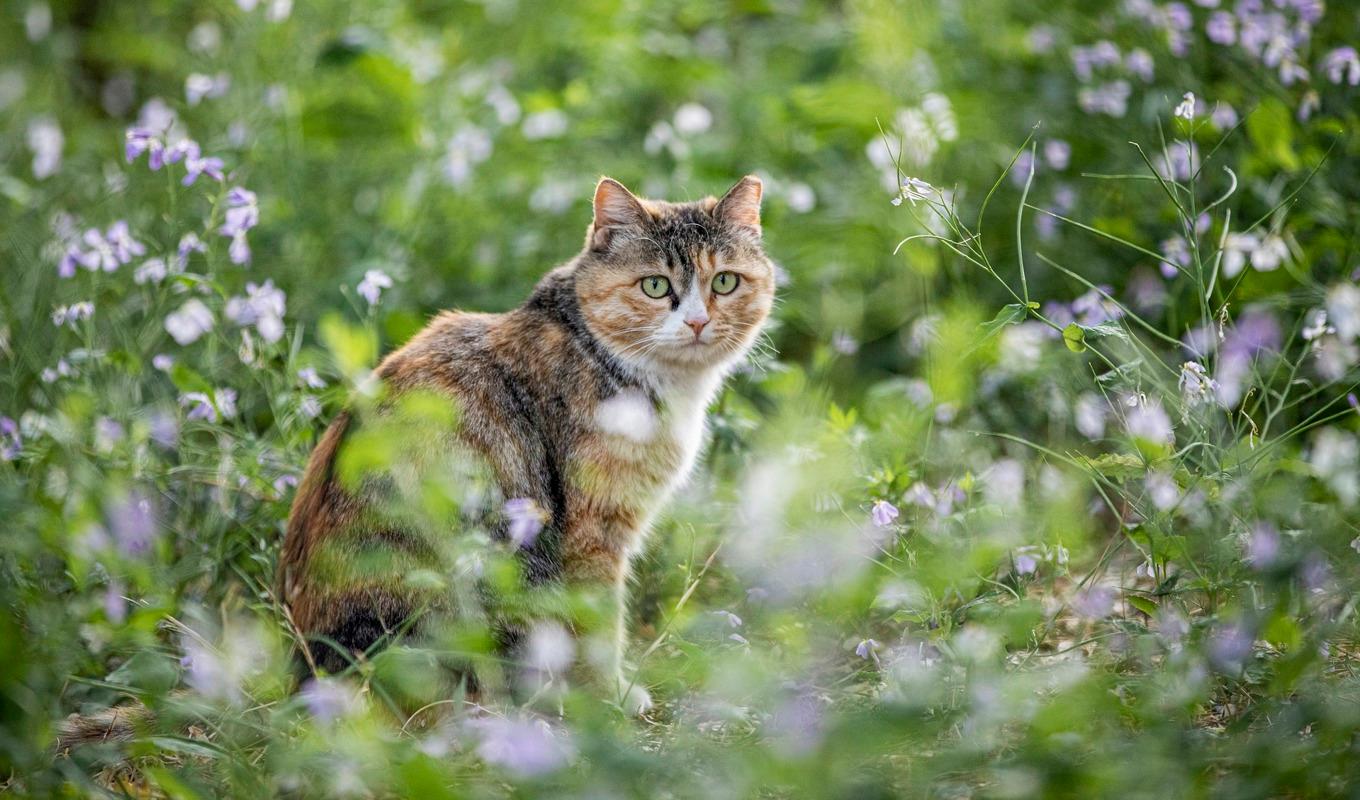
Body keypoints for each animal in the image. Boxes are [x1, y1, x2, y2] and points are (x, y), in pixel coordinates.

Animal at [273, 175, 777, 712]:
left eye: (724, 282)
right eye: (655, 286)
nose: (698, 323)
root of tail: (311, 672)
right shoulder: (593, 531)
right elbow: (598, 624)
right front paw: (609, 697)